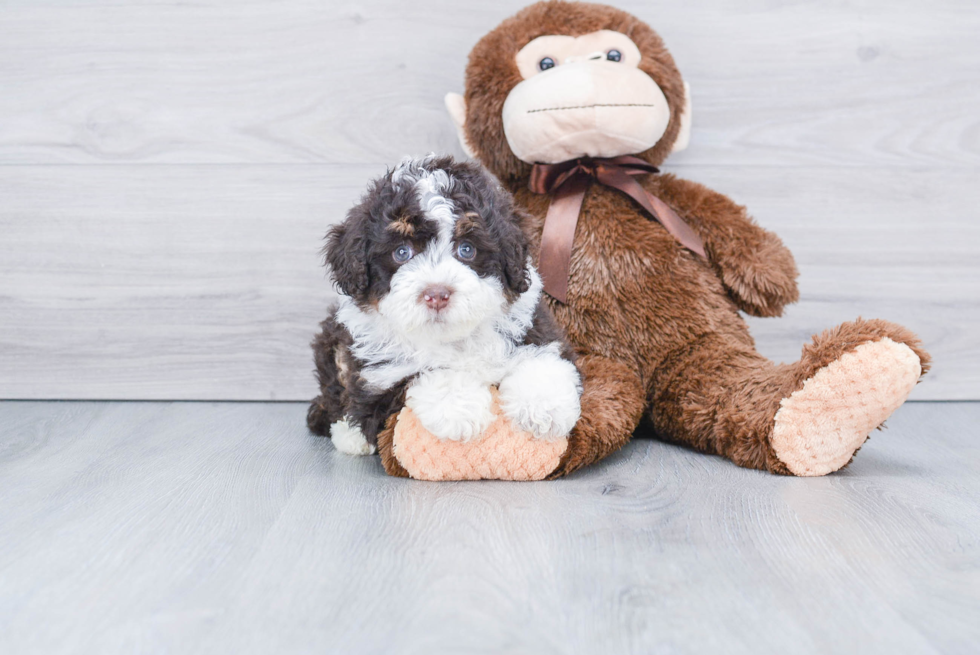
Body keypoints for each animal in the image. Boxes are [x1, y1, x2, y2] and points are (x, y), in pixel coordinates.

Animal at [306, 157, 580, 458]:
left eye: (467, 249)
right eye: (401, 252)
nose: (436, 294)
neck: (450, 339)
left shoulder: (534, 327)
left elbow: (543, 357)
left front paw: (544, 406)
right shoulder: (377, 382)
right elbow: (424, 374)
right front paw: (461, 408)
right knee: (334, 393)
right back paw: (348, 435)